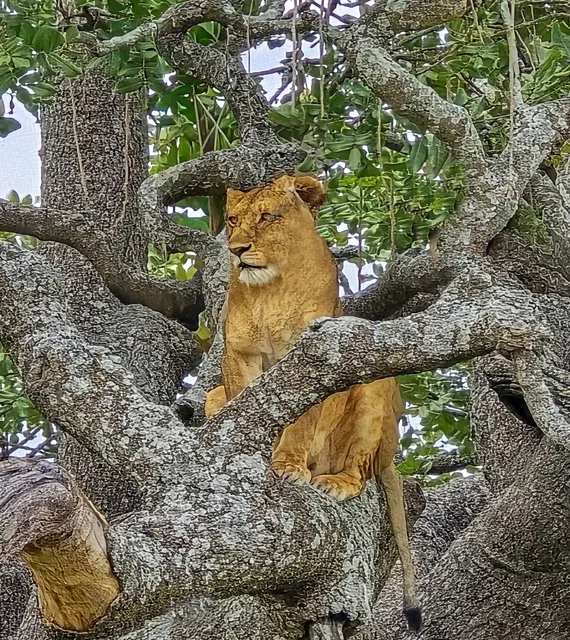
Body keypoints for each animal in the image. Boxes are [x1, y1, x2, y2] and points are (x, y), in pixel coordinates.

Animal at [205, 175, 421, 631]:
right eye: (232, 220)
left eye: (267, 217)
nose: (237, 250)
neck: (271, 288)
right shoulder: (239, 355)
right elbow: (247, 410)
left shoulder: (314, 355)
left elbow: (299, 420)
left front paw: (287, 467)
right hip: (212, 395)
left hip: (374, 390)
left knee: (361, 473)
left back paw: (333, 482)